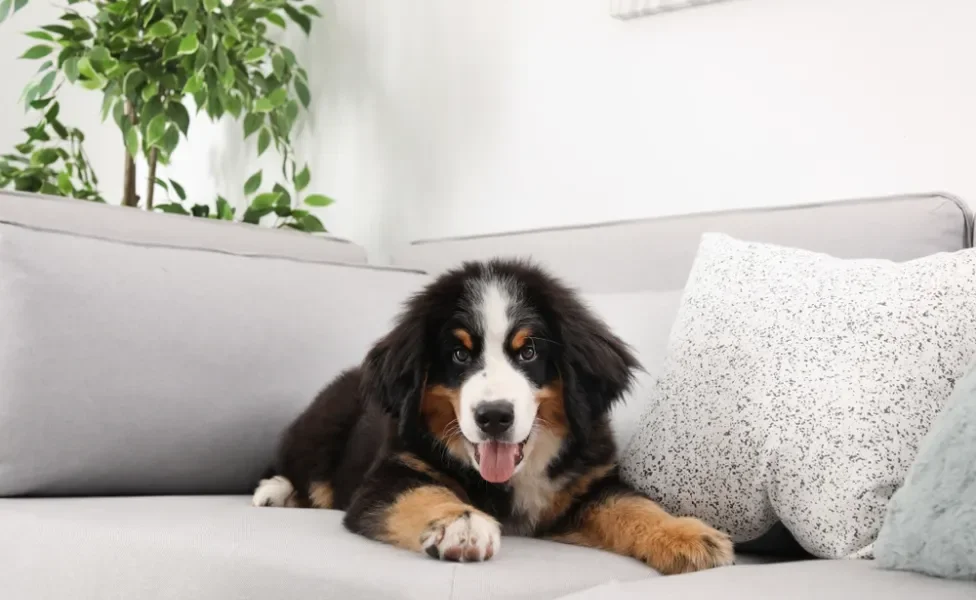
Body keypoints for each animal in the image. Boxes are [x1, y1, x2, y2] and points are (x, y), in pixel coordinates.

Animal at [252, 258, 732, 576]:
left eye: (529, 351)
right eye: (460, 354)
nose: (494, 417)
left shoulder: (585, 483)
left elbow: (632, 505)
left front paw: (686, 535)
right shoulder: (391, 473)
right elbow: (423, 493)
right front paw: (460, 526)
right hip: (321, 429)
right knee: (303, 474)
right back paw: (274, 492)